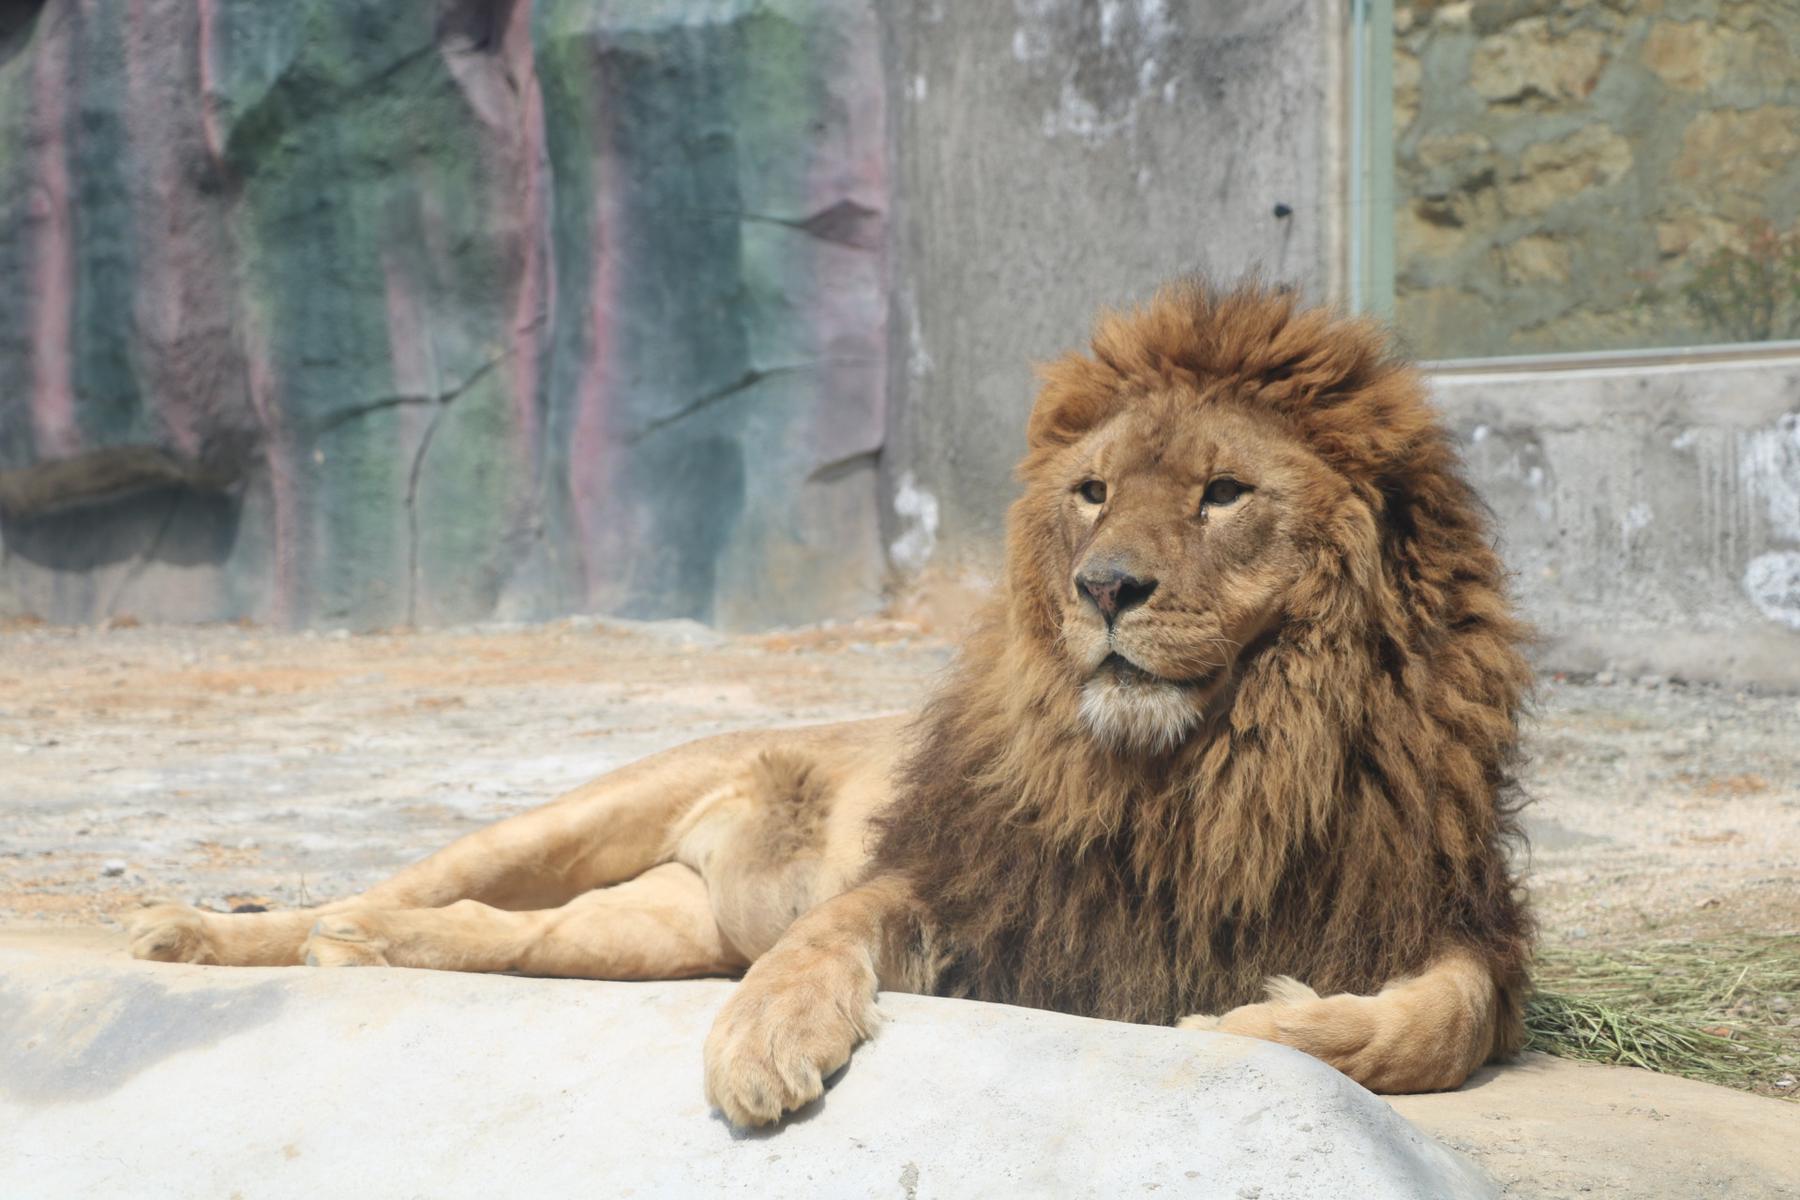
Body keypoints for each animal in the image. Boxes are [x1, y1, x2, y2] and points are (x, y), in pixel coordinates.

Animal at [126, 282, 1533, 1129]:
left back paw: (366, 951)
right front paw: (762, 1043)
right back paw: (212, 933)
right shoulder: (961, 874)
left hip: (650, 930)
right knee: (402, 885)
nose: (1104, 587)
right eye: (1093, 492)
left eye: (1224, 492)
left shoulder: (1440, 906)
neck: (1207, 769)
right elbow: (825, 936)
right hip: (589, 810)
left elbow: (1447, 1021)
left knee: (500, 935)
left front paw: (1277, 1019)